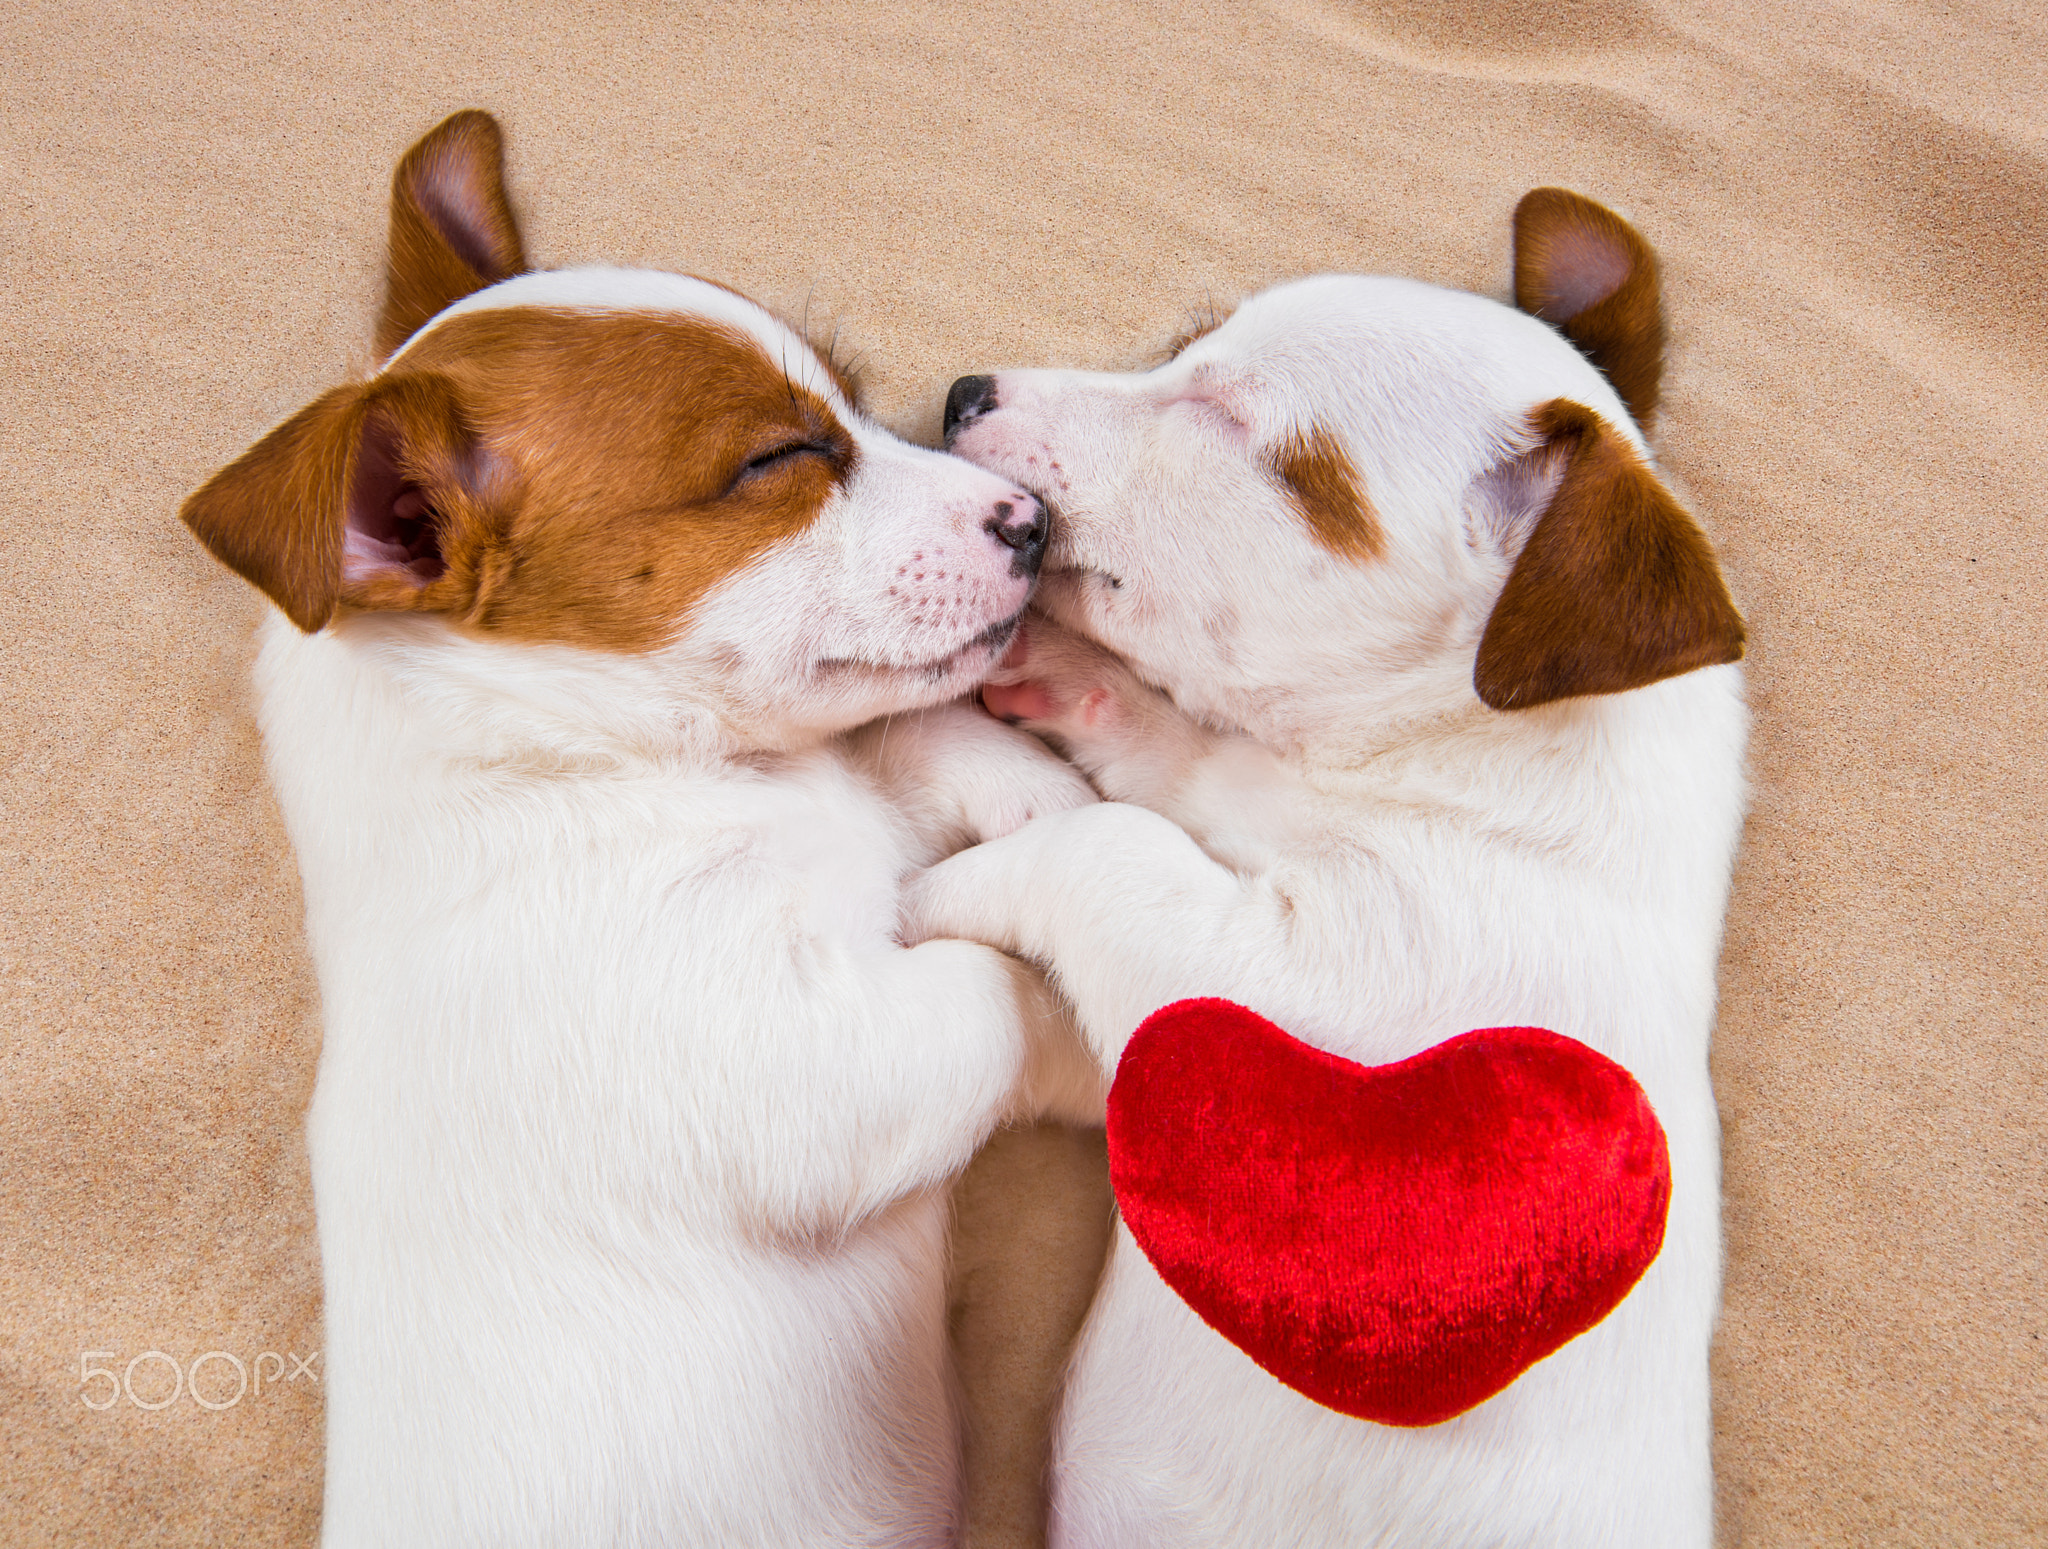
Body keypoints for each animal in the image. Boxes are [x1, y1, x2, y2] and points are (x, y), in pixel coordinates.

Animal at [184, 112, 1097, 1549]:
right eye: (778, 463)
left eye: (849, 398)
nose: (1036, 519)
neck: (637, 765)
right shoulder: (807, 1067)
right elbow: (995, 993)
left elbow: (925, 746)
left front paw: (1048, 798)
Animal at [921, 193, 1753, 1549]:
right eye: (1186, 342)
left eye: (1250, 435)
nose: (960, 392)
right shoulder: (1248, 810)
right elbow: (1172, 758)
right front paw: (1068, 678)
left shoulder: (1277, 988)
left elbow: (1107, 845)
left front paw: (938, 896)